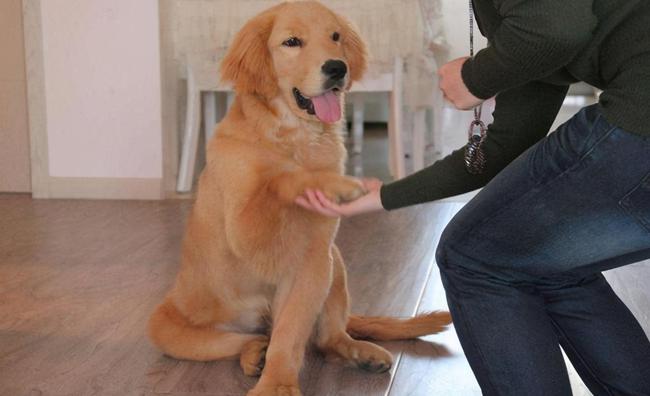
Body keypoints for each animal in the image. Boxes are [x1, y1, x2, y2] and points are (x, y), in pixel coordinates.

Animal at [149, 1, 448, 394]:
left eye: (335, 36)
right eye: (291, 42)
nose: (337, 67)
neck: (295, 135)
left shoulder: (313, 261)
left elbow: (291, 334)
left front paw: (278, 381)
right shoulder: (244, 230)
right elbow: (281, 179)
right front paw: (331, 183)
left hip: (335, 264)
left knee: (327, 338)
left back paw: (359, 353)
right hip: (168, 327)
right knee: (245, 340)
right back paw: (253, 354)